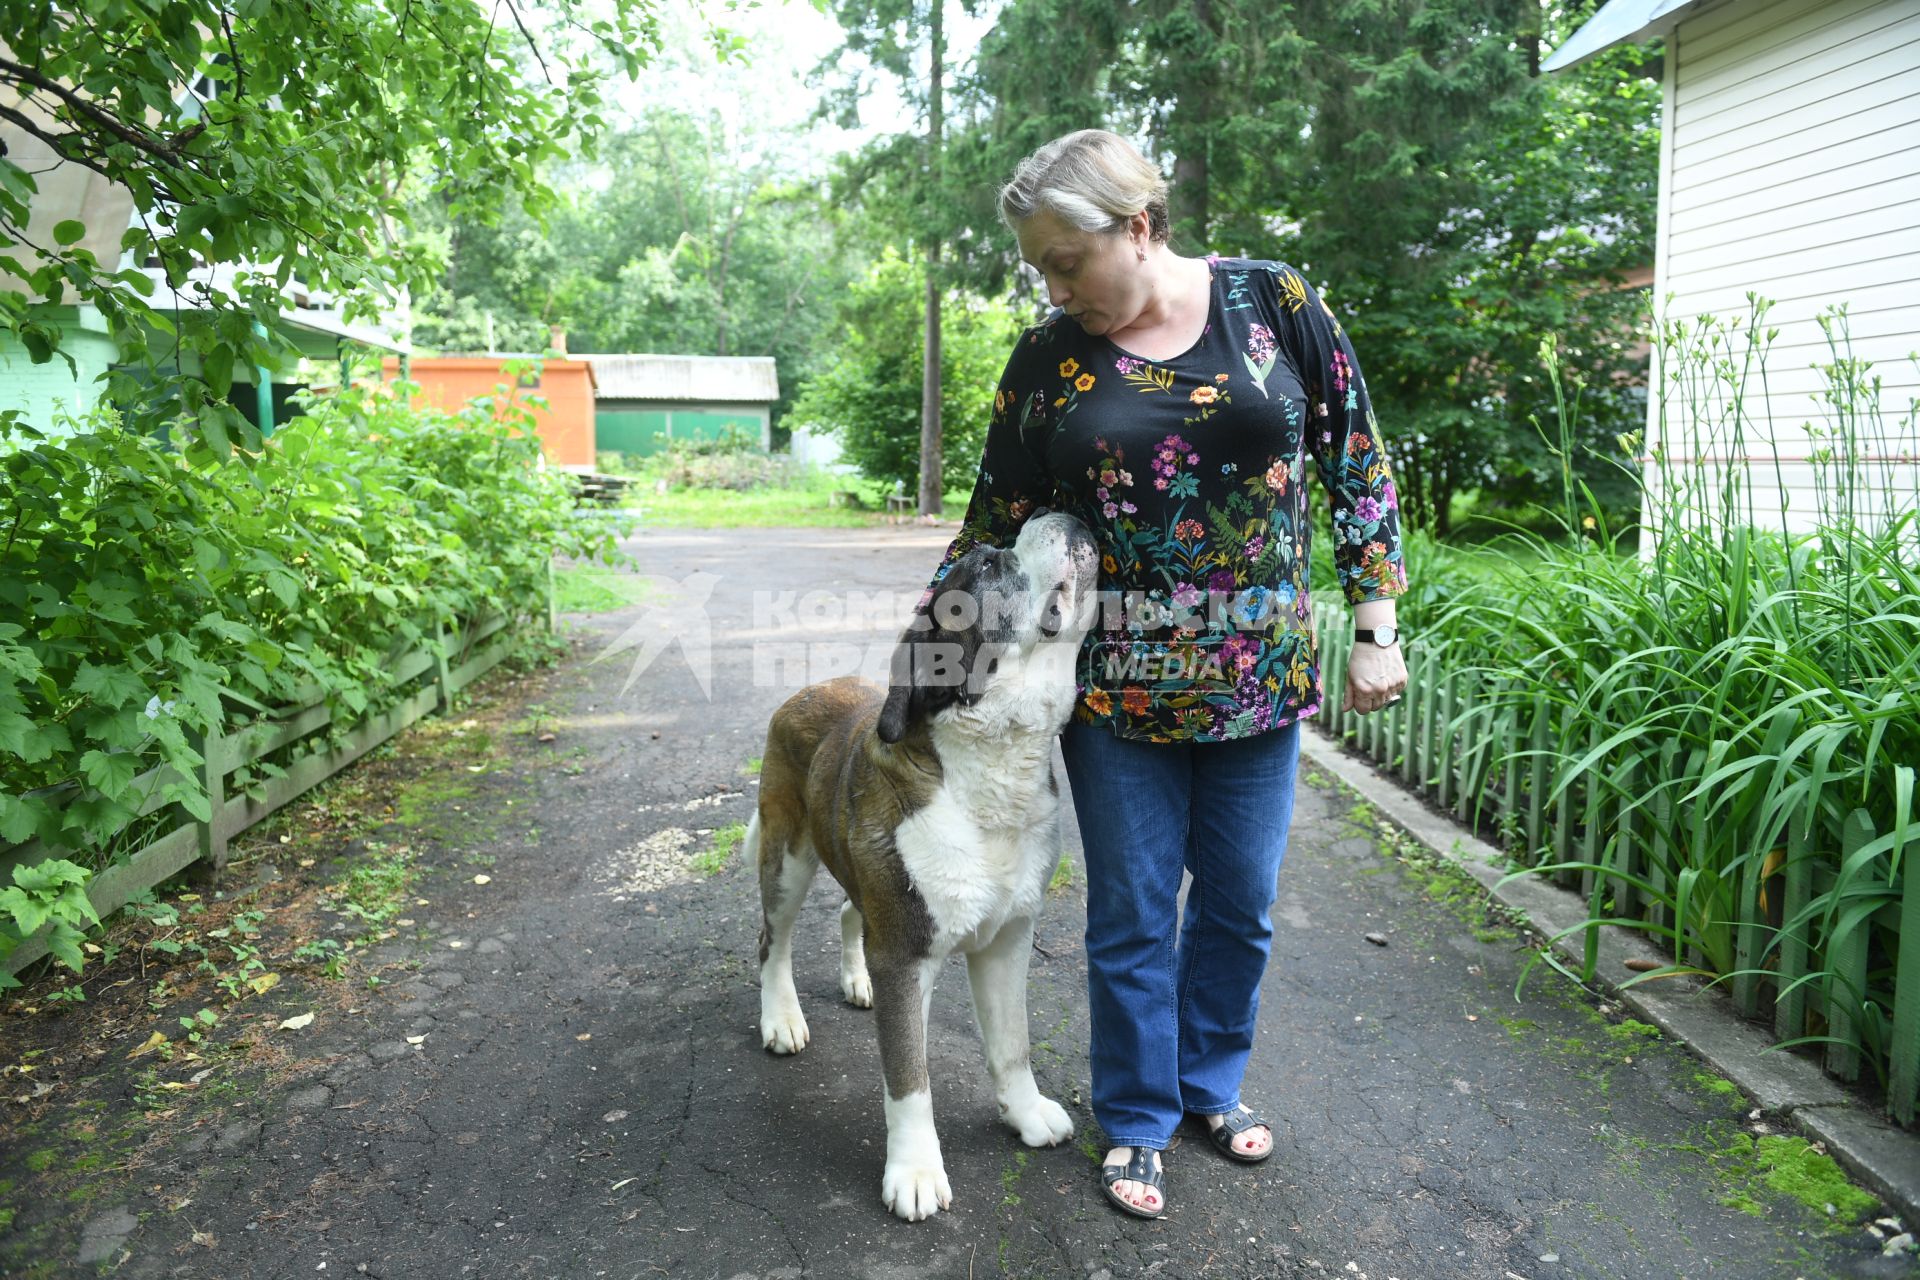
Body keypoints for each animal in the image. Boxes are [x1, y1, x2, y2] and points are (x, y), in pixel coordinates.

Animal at [752, 506, 1113, 1220]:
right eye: (989, 565)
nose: (1056, 510)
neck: (992, 760)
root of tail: (808, 689)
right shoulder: (905, 954)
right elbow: (909, 1077)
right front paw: (915, 1171)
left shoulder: (1007, 939)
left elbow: (1012, 1044)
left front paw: (1025, 1114)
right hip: (788, 857)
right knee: (773, 940)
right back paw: (781, 1018)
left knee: (849, 911)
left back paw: (855, 980)